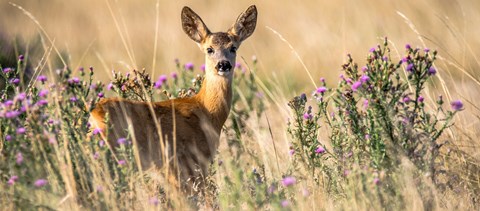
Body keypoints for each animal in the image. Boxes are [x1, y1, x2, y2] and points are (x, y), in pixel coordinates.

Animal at [88, 5, 256, 192]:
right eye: (209, 49)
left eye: (233, 47)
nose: (223, 64)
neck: (206, 111)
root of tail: (94, 115)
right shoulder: (188, 161)